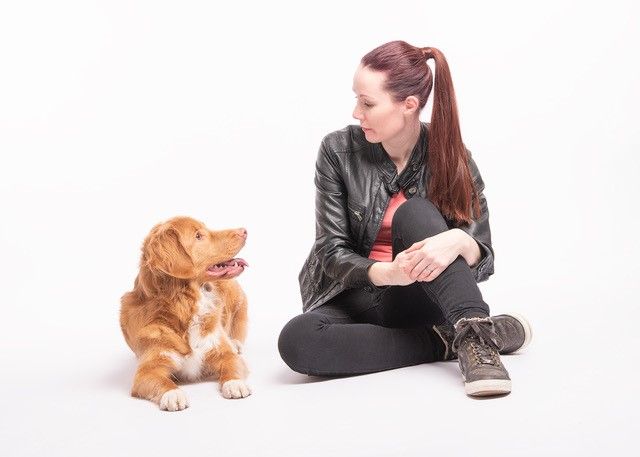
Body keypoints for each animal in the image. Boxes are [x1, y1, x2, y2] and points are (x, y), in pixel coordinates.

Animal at [120, 216, 251, 411]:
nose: (243, 231)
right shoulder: (147, 371)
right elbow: (162, 381)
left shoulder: (224, 353)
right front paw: (173, 394)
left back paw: (235, 342)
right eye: (198, 236)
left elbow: (231, 366)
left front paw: (235, 383)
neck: (185, 306)